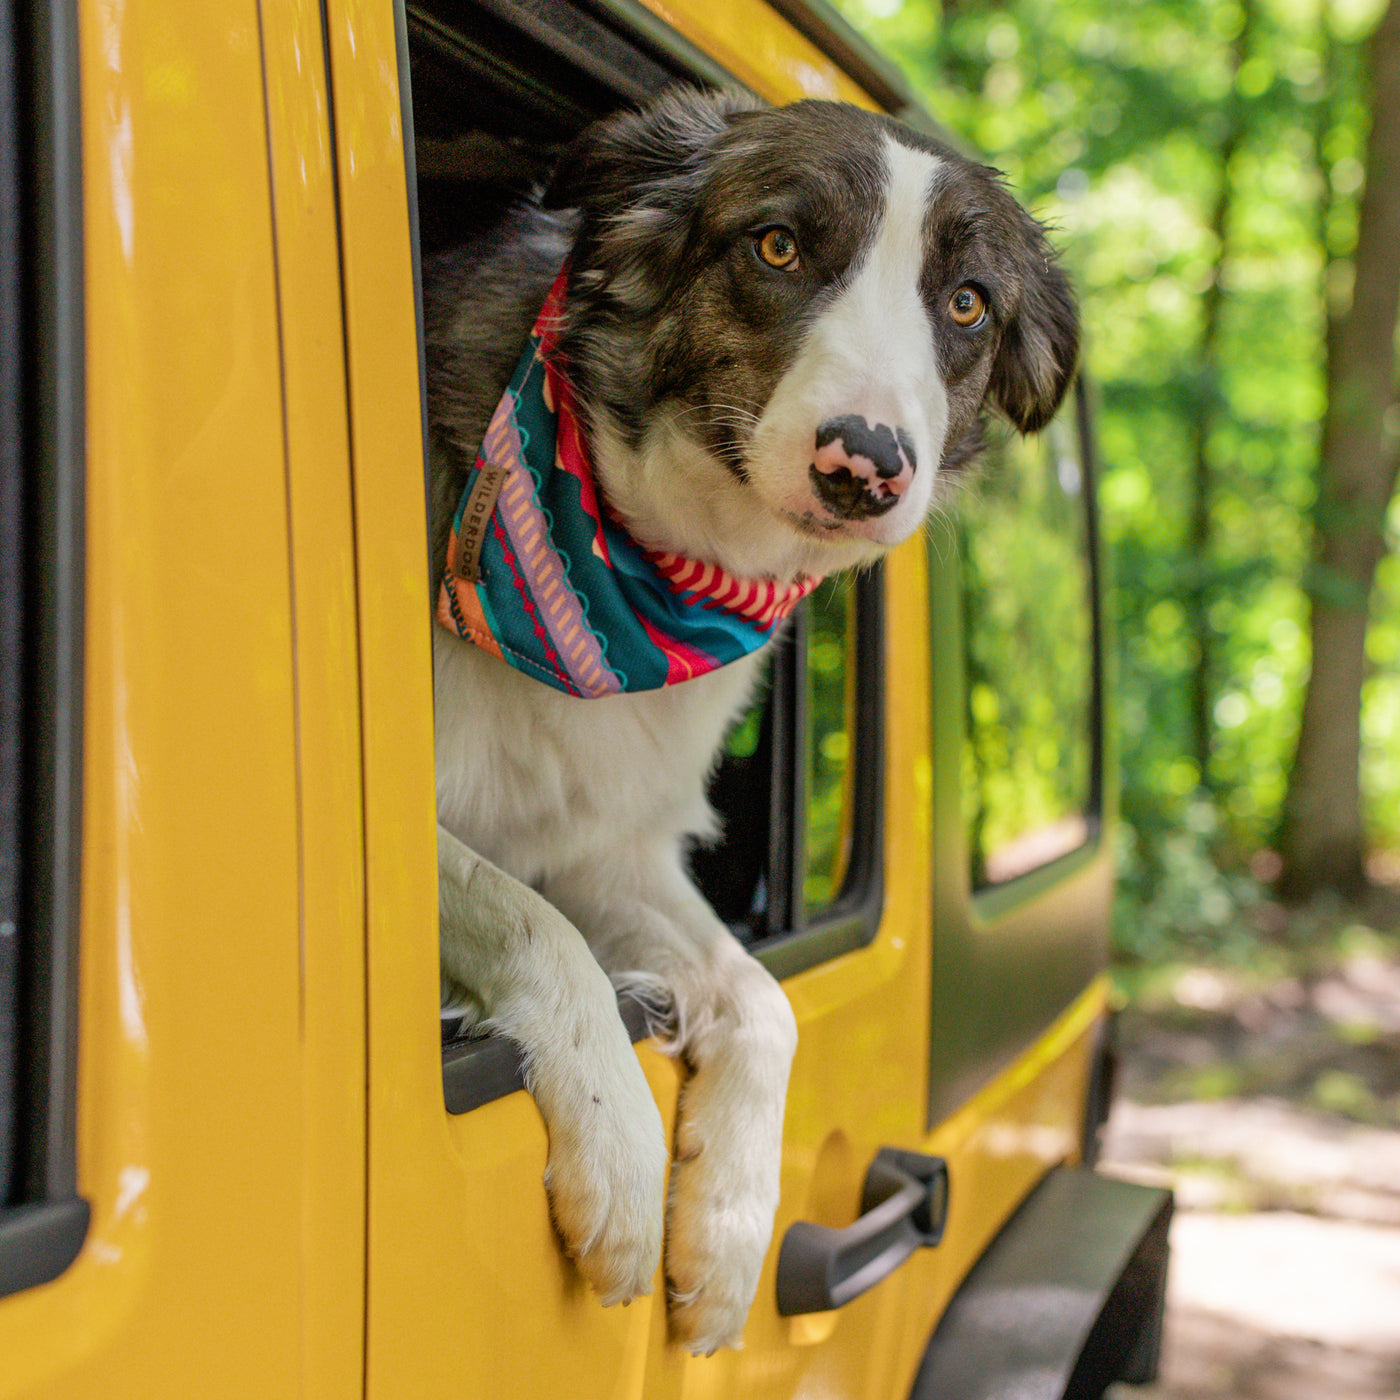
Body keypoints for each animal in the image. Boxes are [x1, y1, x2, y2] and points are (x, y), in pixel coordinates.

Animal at [420, 90, 1075, 1355]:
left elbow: (762, 999)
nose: (864, 463)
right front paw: (622, 1154)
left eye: (966, 302)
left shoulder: (611, 848)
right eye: (776, 247)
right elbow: (528, 916)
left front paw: (726, 1228)